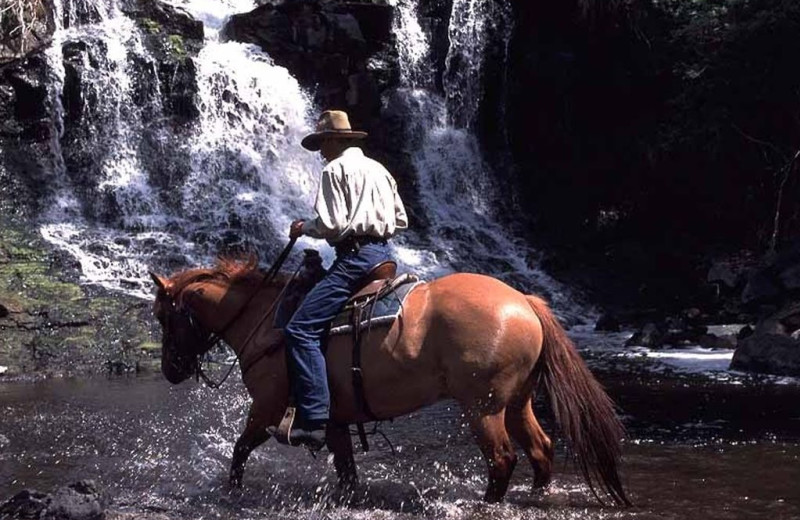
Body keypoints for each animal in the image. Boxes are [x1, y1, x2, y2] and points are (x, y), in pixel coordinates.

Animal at [147, 254, 628, 506]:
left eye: (163, 316)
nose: (171, 371)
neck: (266, 319)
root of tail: (524, 302)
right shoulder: (335, 419)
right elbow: (346, 471)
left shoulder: (267, 408)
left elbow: (240, 450)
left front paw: (230, 492)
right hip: (517, 401)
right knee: (540, 449)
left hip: (483, 405)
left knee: (502, 458)